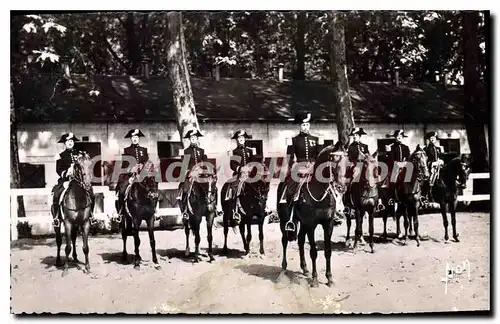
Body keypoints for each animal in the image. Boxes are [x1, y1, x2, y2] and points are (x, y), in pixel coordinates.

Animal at [276, 146, 346, 288]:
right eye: (333, 161)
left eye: (347, 161)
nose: (341, 187)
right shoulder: (311, 224)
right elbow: (313, 251)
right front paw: (315, 279)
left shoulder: (328, 224)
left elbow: (328, 251)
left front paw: (329, 278)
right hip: (284, 221)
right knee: (284, 241)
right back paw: (284, 268)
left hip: (302, 224)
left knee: (300, 241)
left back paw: (304, 268)